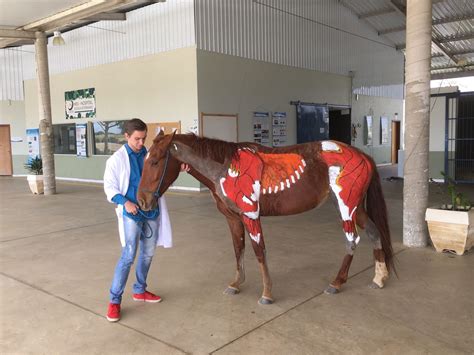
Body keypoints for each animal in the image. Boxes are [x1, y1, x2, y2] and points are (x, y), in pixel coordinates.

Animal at [137, 132, 392, 304]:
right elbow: (238, 248)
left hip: (345, 206)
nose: (141, 201)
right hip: (355, 208)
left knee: (352, 240)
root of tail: (363, 156)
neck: (227, 166)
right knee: (374, 232)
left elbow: (259, 251)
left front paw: (267, 293)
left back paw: (336, 283)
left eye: (155, 161)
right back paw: (379, 278)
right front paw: (236, 284)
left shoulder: (251, 215)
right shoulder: (233, 219)